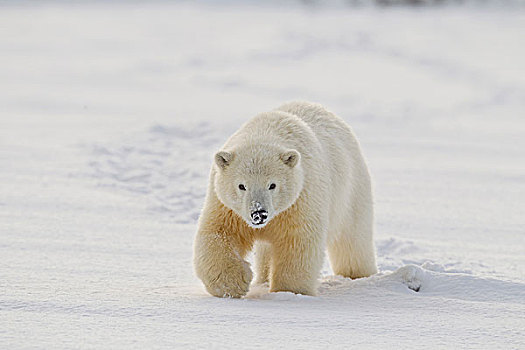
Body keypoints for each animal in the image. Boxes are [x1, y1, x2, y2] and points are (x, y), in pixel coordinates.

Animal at [192, 101, 376, 298]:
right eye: (242, 186)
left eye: (272, 185)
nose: (259, 213)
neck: (264, 132)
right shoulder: (227, 207)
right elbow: (217, 233)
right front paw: (232, 284)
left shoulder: (301, 199)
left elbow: (297, 241)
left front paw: (288, 292)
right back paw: (263, 279)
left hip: (352, 190)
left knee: (353, 238)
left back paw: (358, 274)